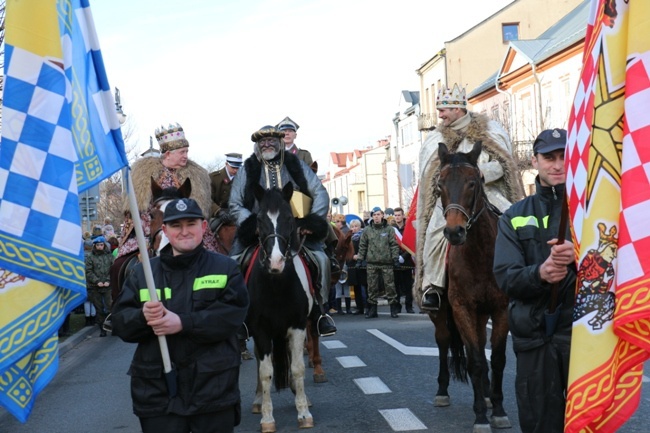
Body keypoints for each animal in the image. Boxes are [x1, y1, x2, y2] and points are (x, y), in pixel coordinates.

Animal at [244, 183, 312, 432]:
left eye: (289, 218)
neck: (277, 284)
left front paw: (303, 413)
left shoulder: (297, 326)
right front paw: (267, 418)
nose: (276, 262)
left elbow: (298, 368)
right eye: (259, 218)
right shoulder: (260, 330)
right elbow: (265, 373)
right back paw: (257, 401)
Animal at [430, 140, 512, 430]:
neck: (480, 254)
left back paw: (487, 395)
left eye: (473, 183)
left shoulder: (500, 308)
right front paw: (480, 417)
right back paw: (442, 392)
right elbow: (475, 360)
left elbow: (497, 359)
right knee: (444, 341)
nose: (454, 232)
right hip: (442, 311)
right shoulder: (462, 307)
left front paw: (498, 409)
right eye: (439, 185)